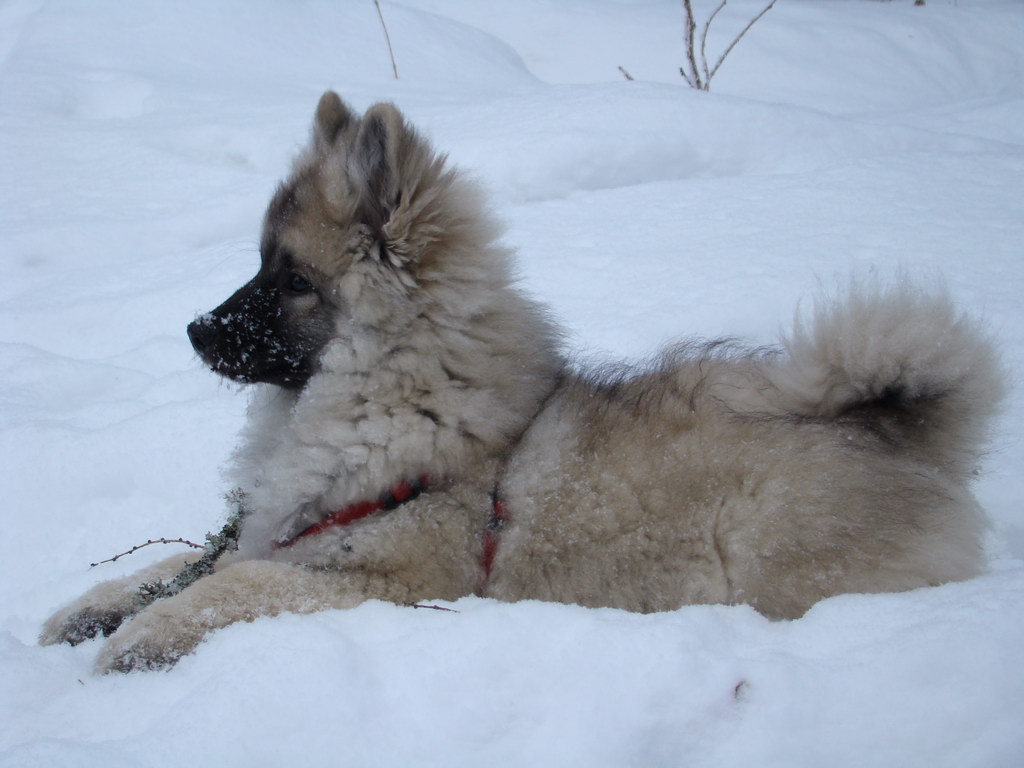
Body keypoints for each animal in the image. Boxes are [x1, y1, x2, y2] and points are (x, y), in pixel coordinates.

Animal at [41, 91, 1007, 671]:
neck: (398, 395)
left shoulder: (381, 581)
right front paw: (88, 611)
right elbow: (177, 564)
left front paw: (139, 639)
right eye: (258, 265)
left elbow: (228, 587)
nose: (196, 330)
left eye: (292, 282)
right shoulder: (281, 534)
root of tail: (905, 437)